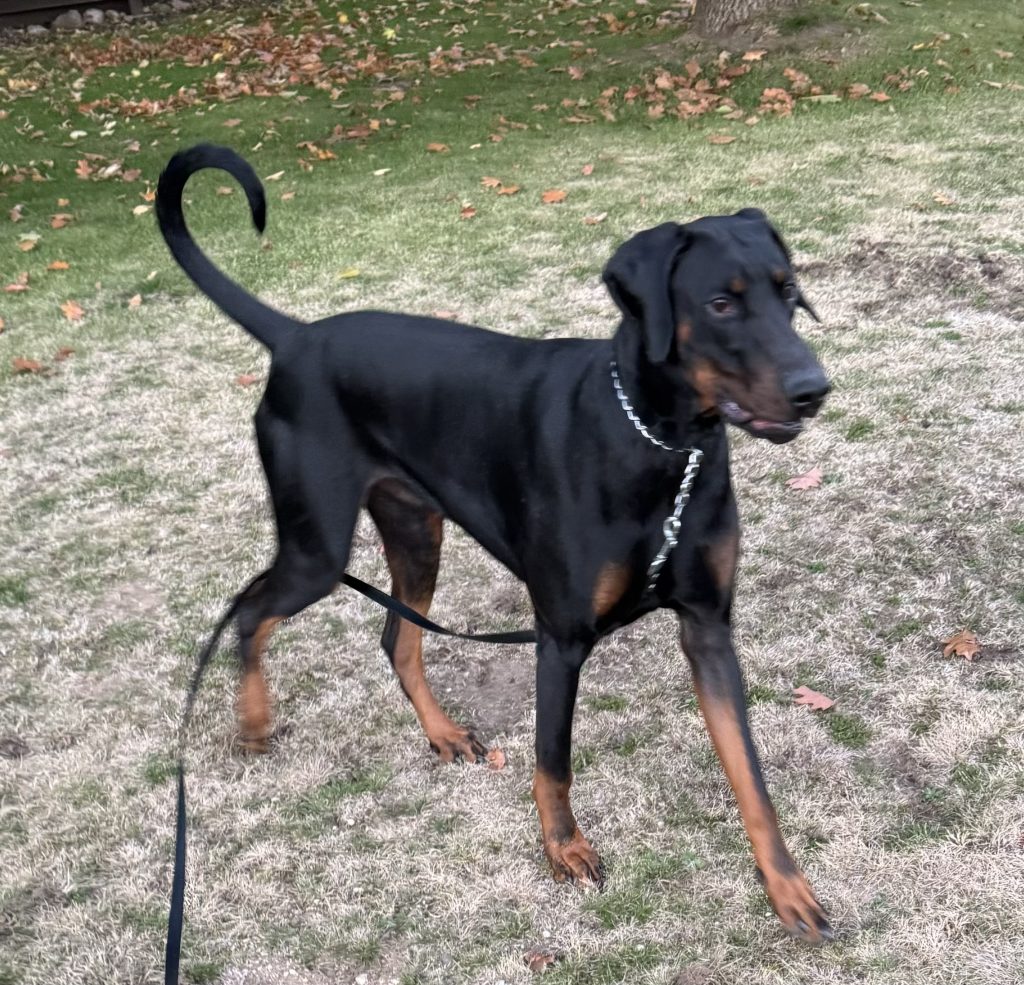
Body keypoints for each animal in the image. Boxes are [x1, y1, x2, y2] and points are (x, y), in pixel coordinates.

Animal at [157, 144, 832, 942]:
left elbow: (749, 773)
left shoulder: (708, 627)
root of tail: (295, 337)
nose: (814, 388)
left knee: (395, 636)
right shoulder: (561, 637)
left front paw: (787, 886)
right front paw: (564, 848)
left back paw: (442, 733)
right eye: (721, 303)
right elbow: (553, 760)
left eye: (790, 292)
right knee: (250, 610)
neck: (660, 445)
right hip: (317, 549)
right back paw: (255, 722)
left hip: (415, 529)